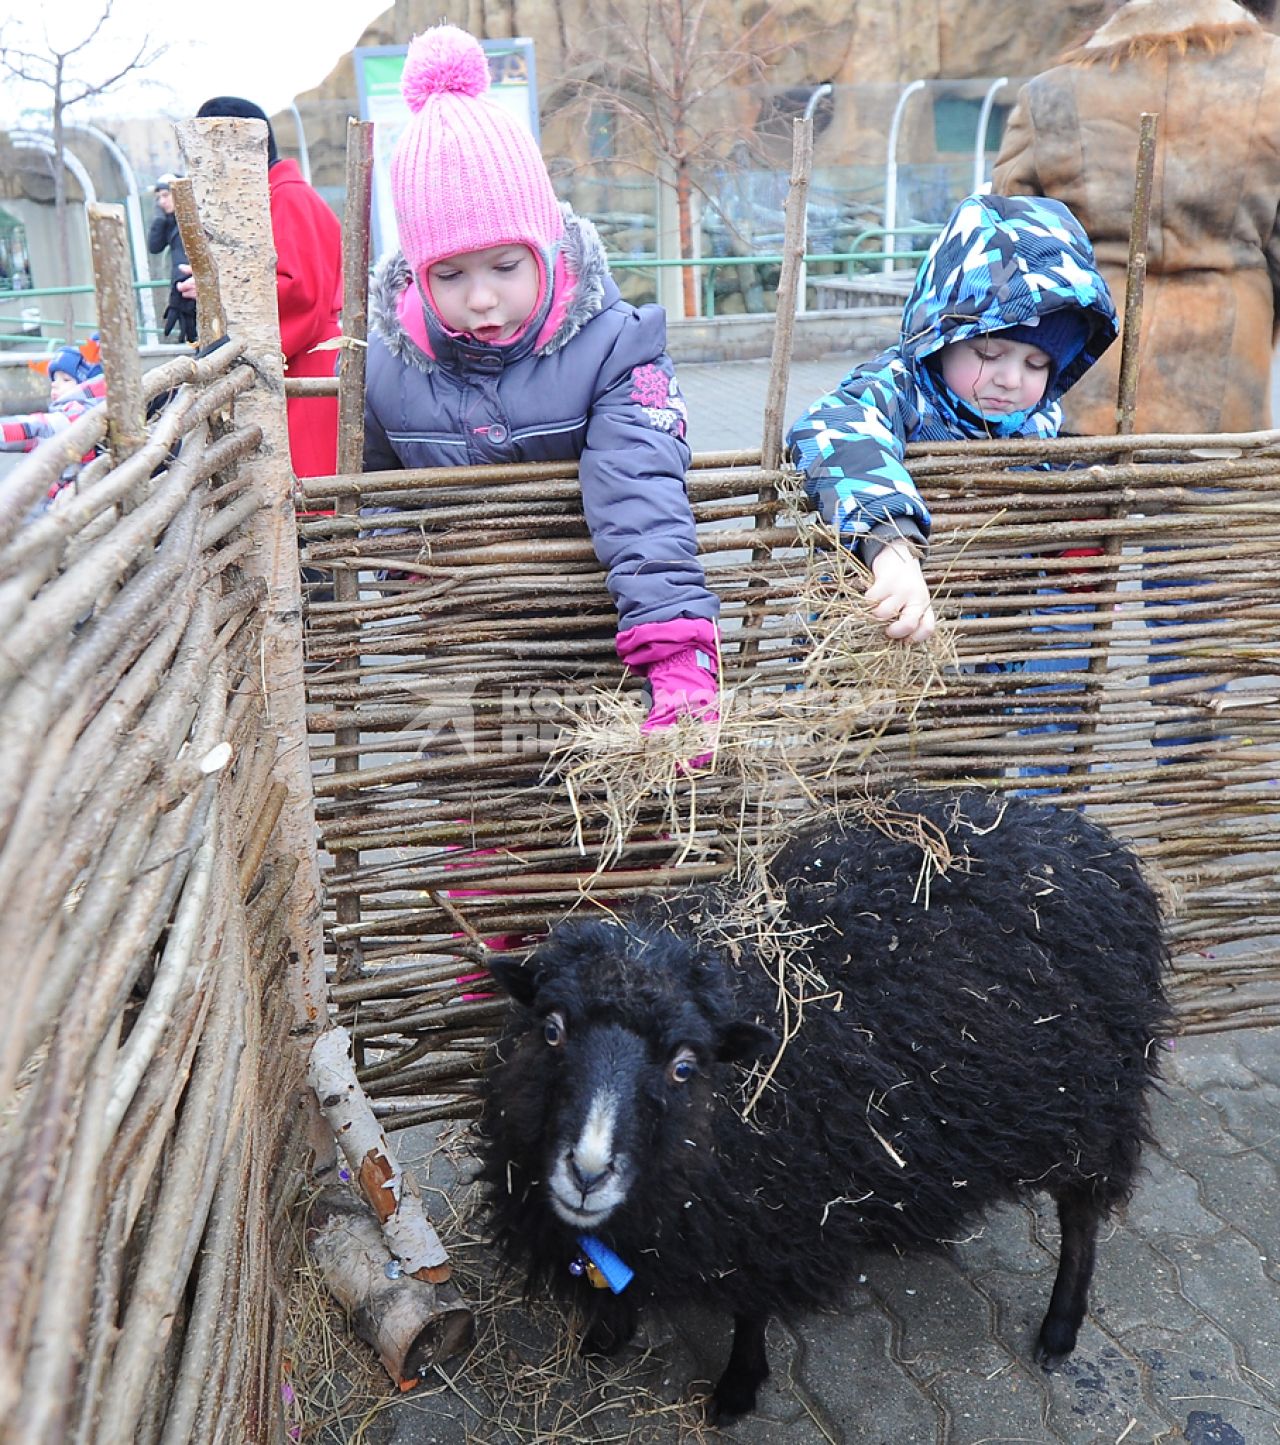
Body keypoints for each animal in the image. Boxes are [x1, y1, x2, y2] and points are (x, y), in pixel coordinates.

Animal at [479, 786, 1173, 1416]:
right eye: (551, 1030)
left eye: (684, 1066)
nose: (588, 1171)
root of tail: (1089, 840)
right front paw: (608, 1334)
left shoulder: (775, 1209)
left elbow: (751, 1307)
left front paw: (738, 1388)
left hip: (1096, 1107)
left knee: (1082, 1218)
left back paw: (1061, 1328)